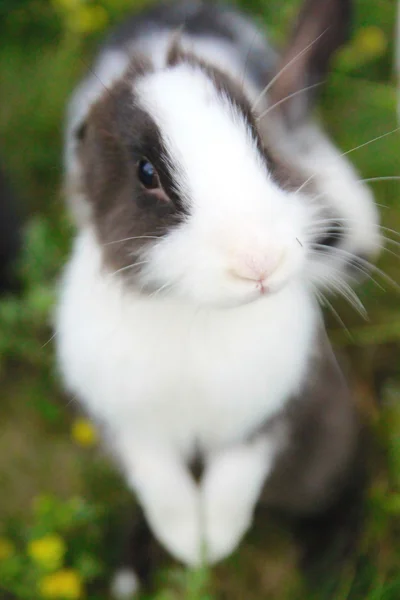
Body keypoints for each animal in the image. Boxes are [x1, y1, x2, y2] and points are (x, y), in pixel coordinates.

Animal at [57, 0, 382, 596]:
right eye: (146, 173)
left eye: (263, 148)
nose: (259, 262)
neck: (197, 315)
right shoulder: (129, 427)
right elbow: (160, 487)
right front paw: (191, 544)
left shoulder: (270, 416)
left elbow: (236, 477)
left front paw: (217, 541)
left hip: (329, 451)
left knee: (342, 489)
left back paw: (327, 569)